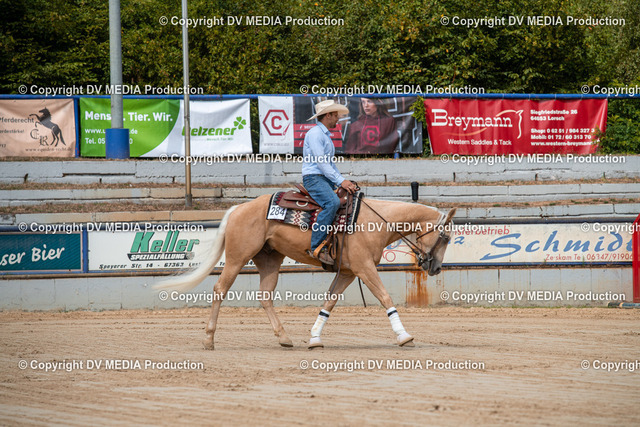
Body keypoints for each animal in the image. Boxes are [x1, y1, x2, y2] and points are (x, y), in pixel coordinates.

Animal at [156, 194, 456, 349]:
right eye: (446, 237)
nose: (436, 267)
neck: (374, 221)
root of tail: (239, 208)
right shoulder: (364, 268)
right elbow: (385, 298)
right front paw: (404, 336)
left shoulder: (347, 272)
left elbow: (329, 303)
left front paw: (314, 338)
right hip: (237, 257)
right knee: (220, 289)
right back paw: (209, 339)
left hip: (269, 260)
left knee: (265, 296)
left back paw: (284, 338)